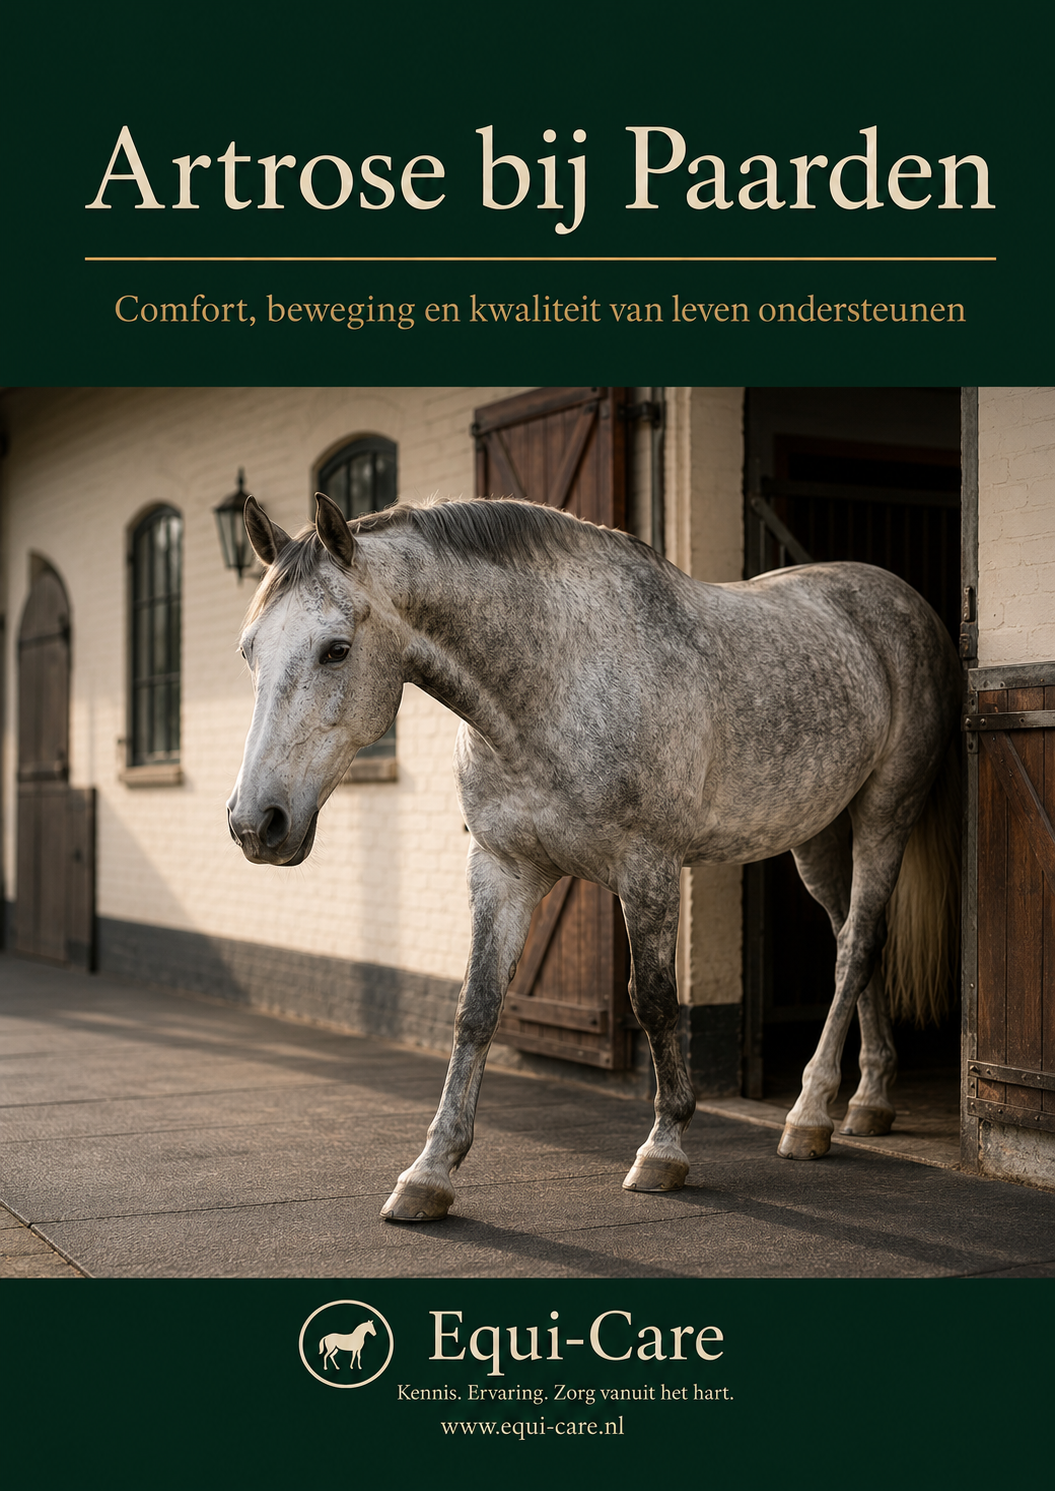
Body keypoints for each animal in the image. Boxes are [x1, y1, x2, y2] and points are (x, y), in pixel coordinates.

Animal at [227, 492, 961, 1223]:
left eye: (336, 649)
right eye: (248, 651)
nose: (255, 823)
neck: (554, 683)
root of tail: (898, 599)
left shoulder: (648, 869)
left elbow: (654, 1000)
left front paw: (664, 1148)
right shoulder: (502, 870)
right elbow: (476, 1007)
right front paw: (428, 1174)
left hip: (884, 815)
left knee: (858, 945)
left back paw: (808, 1115)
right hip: (815, 834)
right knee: (852, 941)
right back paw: (866, 1101)